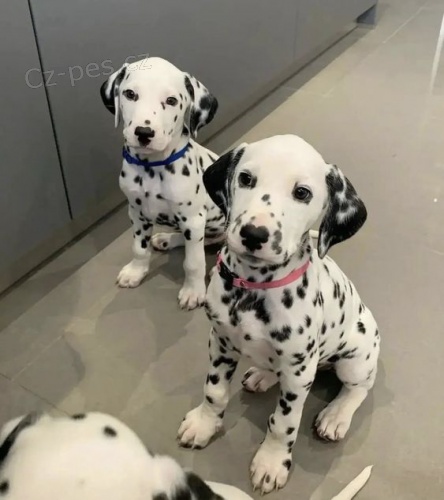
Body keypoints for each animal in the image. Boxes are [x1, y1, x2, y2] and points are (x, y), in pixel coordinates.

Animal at [100, 57, 225, 310]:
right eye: (130, 94)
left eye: (171, 101)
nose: (144, 132)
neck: (152, 168)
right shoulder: (136, 213)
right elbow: (139, 248)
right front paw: (136, 272)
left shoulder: (193, 220)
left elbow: (194, 262)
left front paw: (193, 291)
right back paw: (166, 239)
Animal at [177, 135, 380, 494]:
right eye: (246, 178)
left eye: (302, 193)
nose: (254, 234)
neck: (254, 287)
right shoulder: (220, 342)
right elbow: (214, 391)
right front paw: (204, 424)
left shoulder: (299, 372)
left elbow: (283, 422)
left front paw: (271, 462)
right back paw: (263, 375)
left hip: (356, 357)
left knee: (359, 387)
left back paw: (336, 415)